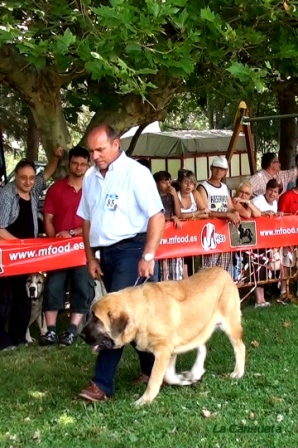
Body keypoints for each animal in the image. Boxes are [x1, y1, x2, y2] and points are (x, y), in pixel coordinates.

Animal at [80, 266, 246, 406]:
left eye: (96, 319)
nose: (81, 335)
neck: (141, 312)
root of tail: (222, 270)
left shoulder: (164, 350)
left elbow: (155, 378)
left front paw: (144, 401)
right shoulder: (170, 350)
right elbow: (168, 375)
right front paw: (183, 380)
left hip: (230, 326)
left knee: (240, 347)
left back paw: (238, 373)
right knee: (202, 347)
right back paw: (195, 372)